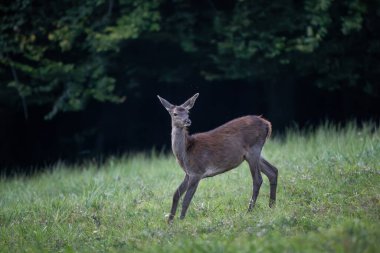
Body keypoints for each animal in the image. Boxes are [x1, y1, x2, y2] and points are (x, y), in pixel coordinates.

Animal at [156, 94, 278, 222]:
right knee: (273, 171)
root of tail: (267, 124)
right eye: (175, 114)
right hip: (252, 154)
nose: (187, 121)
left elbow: (186, 200)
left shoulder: (197, 172)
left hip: (253, 149)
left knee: (258, 179)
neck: (186, 153)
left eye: (188, 112)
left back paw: (249, 210)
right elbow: (176, 194)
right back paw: (272, 206)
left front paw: (181, 221)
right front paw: (170, 222)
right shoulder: (188, 173)